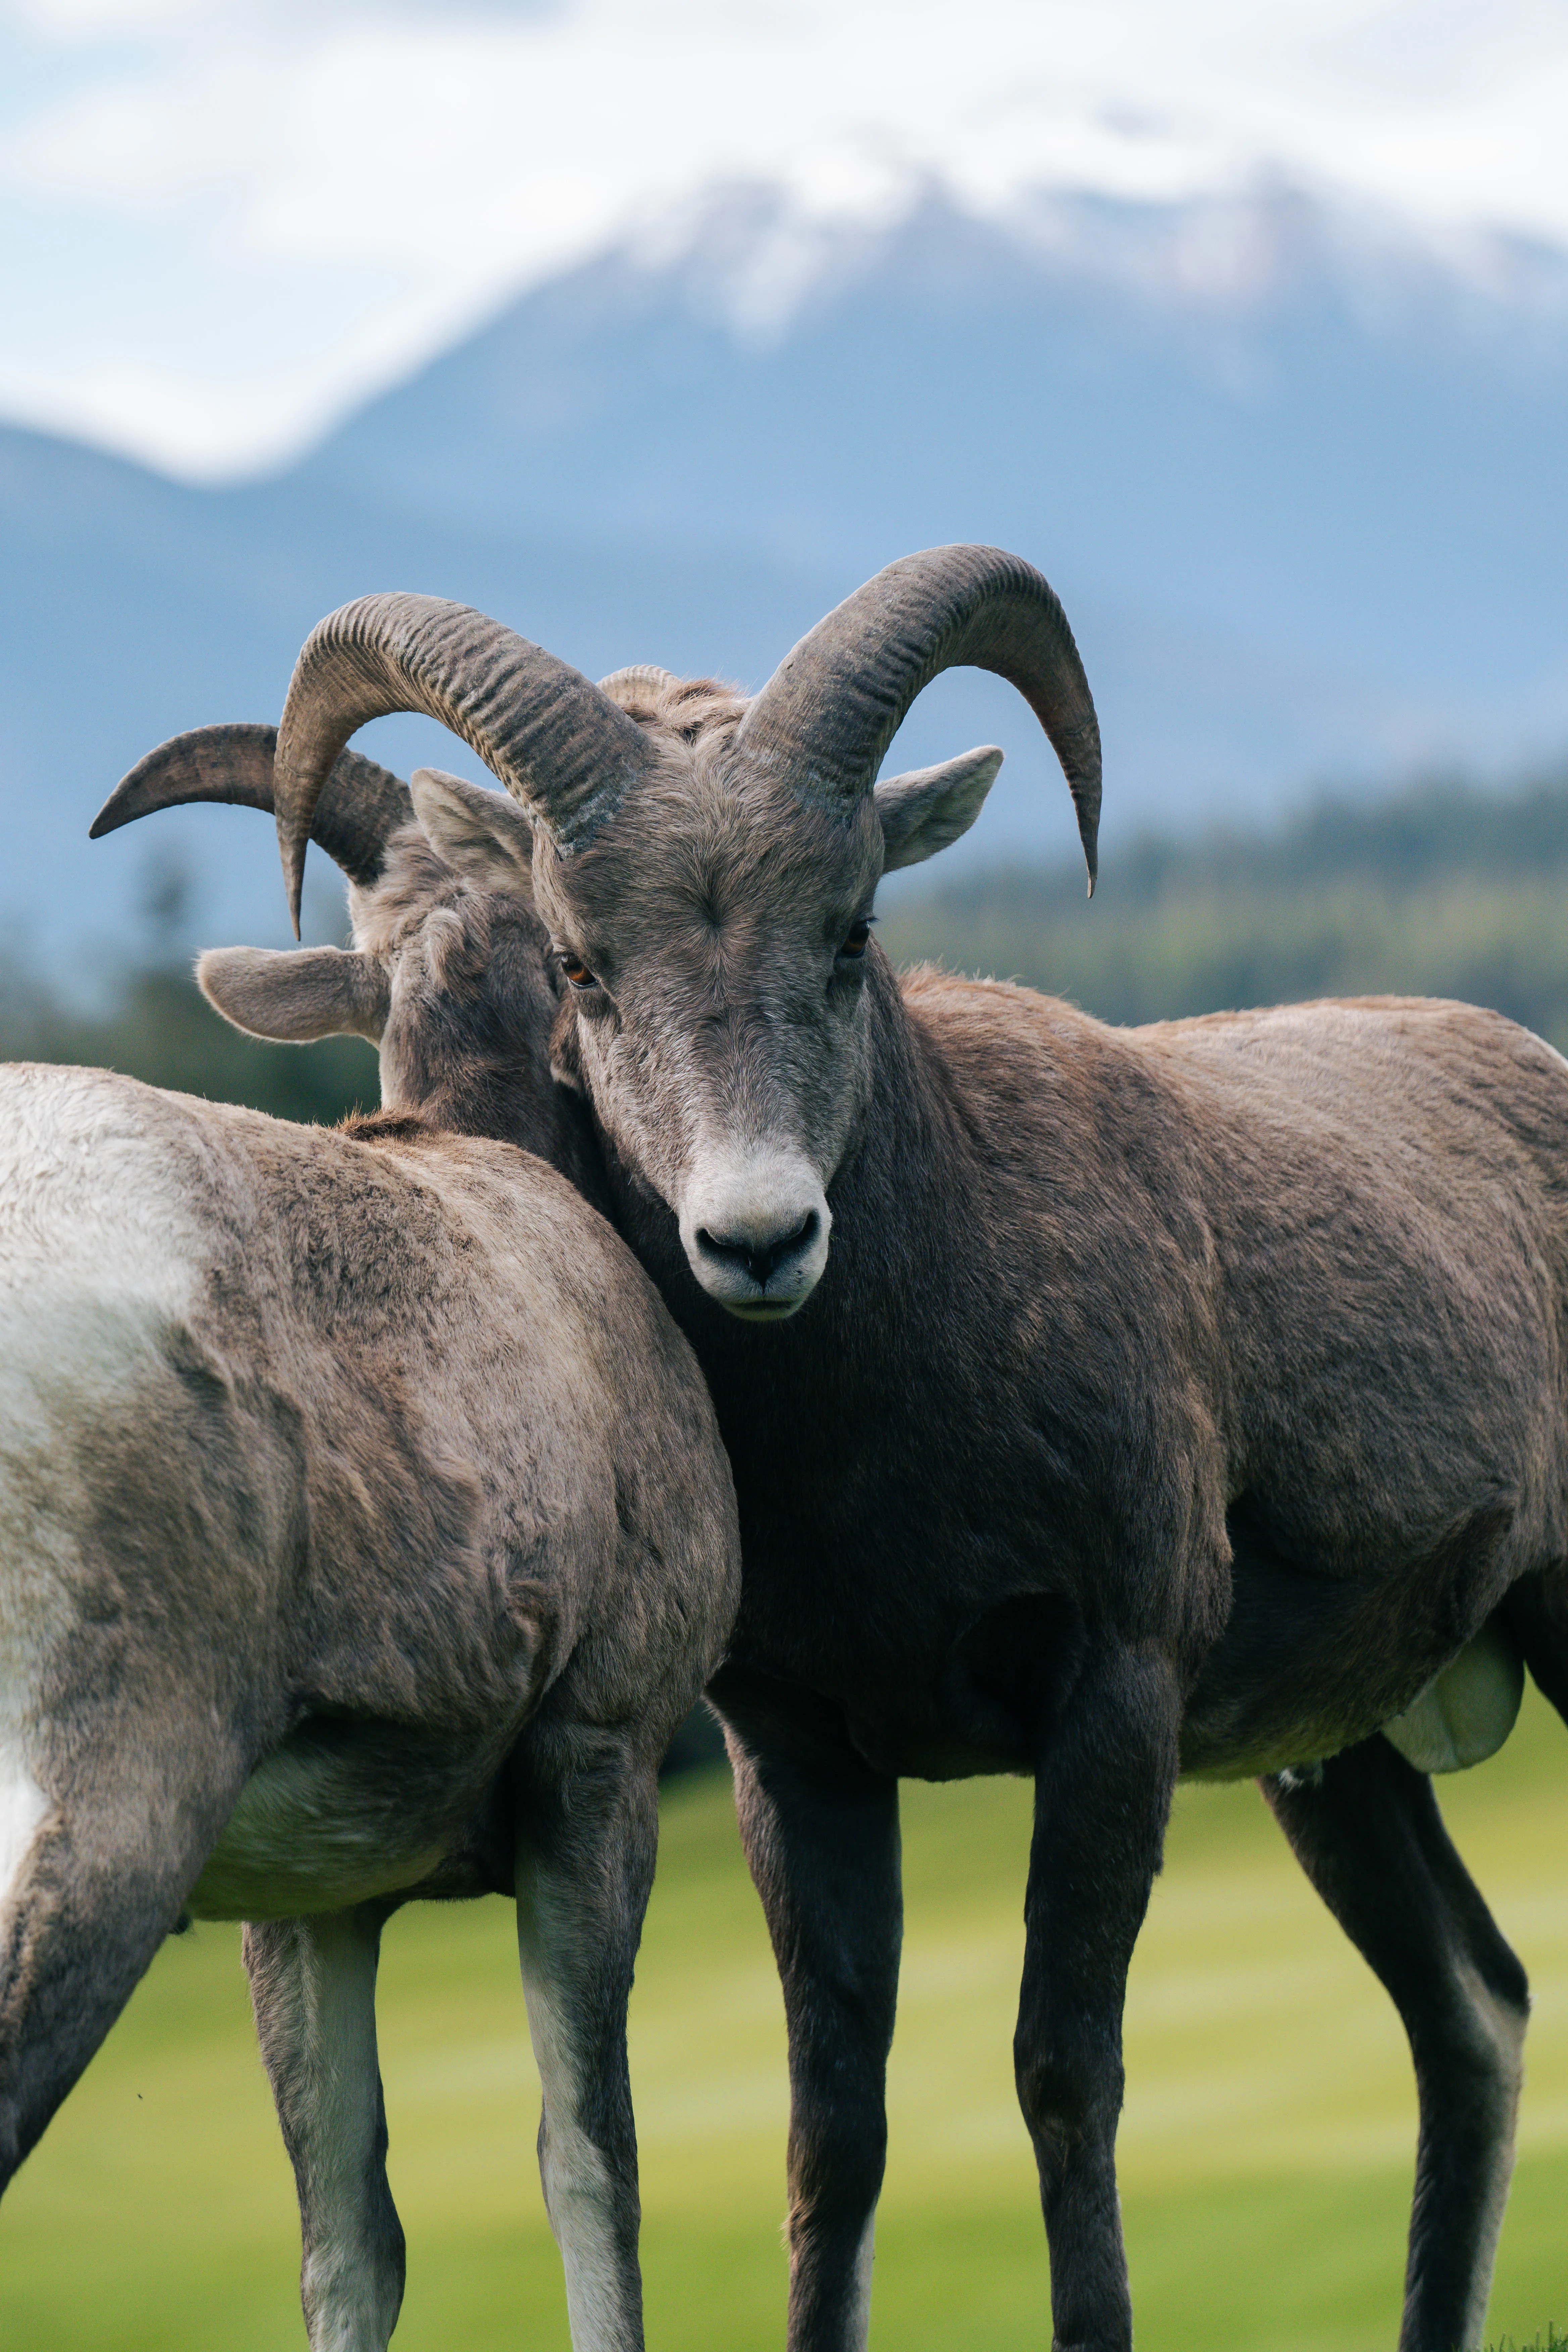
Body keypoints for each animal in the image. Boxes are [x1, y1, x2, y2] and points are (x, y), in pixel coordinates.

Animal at [228, 547, 1568, 2352]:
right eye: (584, 965)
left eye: (851, 929)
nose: (758, 1239)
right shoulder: (801, 1754)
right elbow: (835, 2126)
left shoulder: (1113, 1698)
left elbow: (1064, 2080)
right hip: (1335, 1765)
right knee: (1469, 2014)